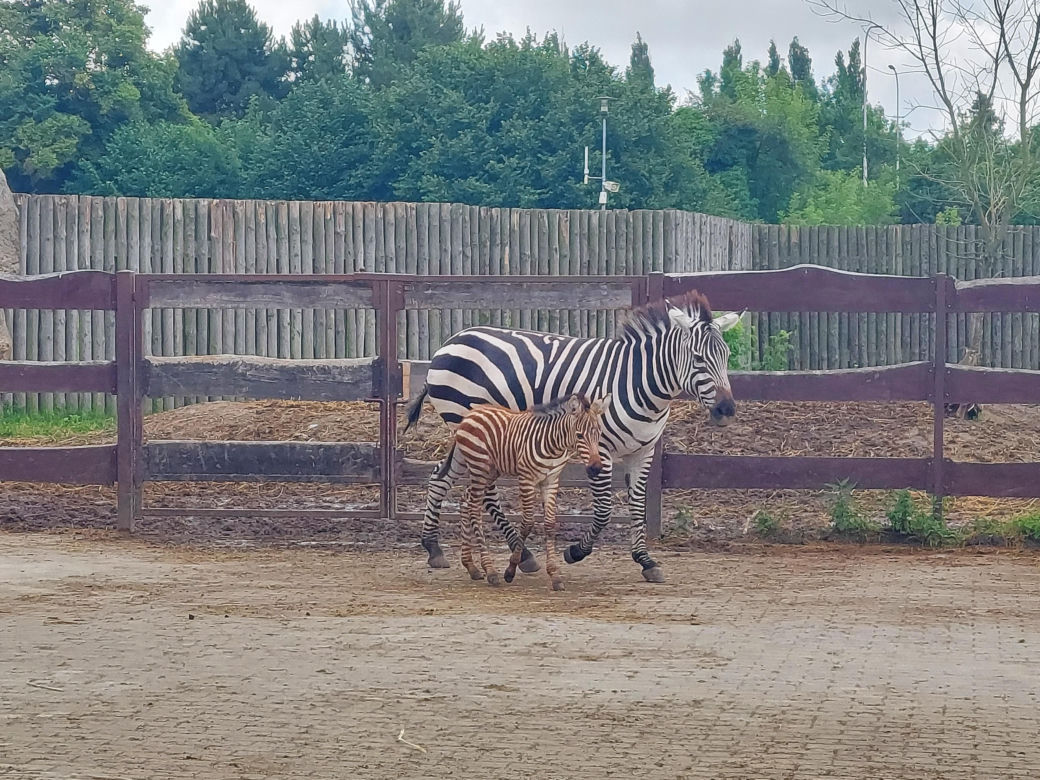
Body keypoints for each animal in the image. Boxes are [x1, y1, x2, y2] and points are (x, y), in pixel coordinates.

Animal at [451, 393, 608, 591]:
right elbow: (527, 524)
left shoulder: (551, 481)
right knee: (474, 510)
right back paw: (490, 571)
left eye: (599, 434)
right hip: (479, 467)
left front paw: (555, 575)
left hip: (490, 471)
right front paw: (511, 569)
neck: (554, 445)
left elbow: (549, 525)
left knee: (466, 501)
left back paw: (471, 566)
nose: (596, 469)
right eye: (580, 435)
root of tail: (471, 413)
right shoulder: (527, 479)